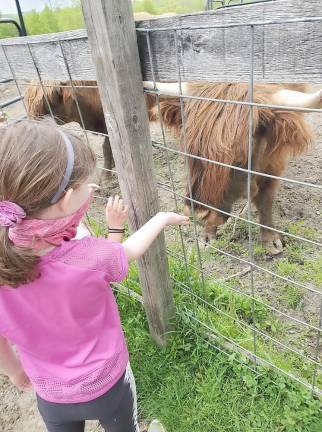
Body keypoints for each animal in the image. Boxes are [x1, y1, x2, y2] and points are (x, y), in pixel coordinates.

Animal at [147, 82, 320, 255]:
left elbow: (265, 199)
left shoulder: (274, 160)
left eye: (239, 157)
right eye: (189, 149)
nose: (198, 215)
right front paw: (208, 236)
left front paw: (271, 240)